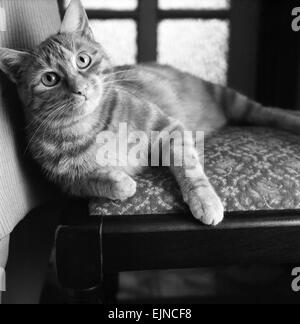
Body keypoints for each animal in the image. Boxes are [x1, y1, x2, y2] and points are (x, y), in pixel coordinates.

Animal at [0, 0, 300, 227]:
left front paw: (204, 200)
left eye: (82, 60)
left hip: (234, 100)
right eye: (49, 79)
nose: (80, 89)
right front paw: (120, 182)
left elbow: (188, 167)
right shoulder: (68, 183)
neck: (89, 126)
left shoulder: (168, 128)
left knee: (268, 112)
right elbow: (95, 180)